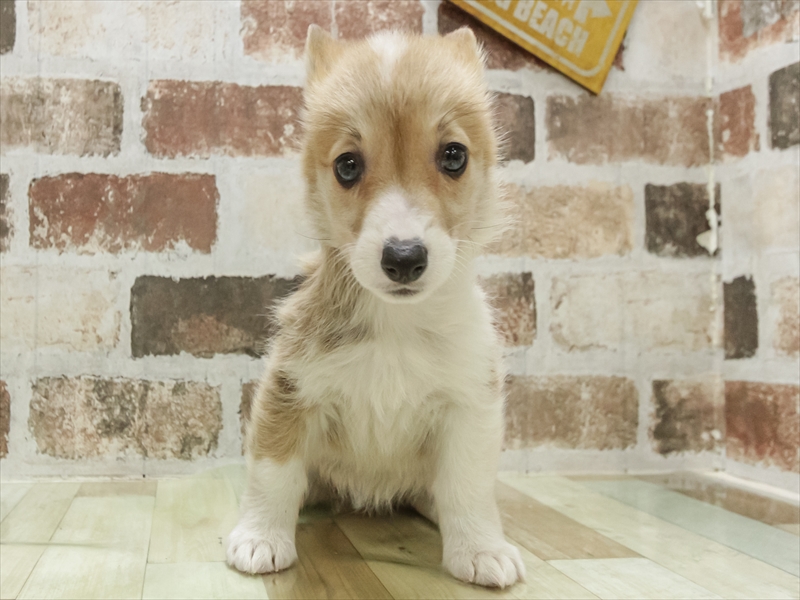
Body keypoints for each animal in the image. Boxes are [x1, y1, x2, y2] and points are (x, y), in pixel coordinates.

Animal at [226, 25, 525, 589]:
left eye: (454, 156)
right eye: (348, 165)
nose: (404, 258)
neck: (398, 325)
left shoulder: (470, 402)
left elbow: (468, 485)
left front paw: (480, 549)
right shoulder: (290, 389)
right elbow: (274, 472)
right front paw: (260, 538)